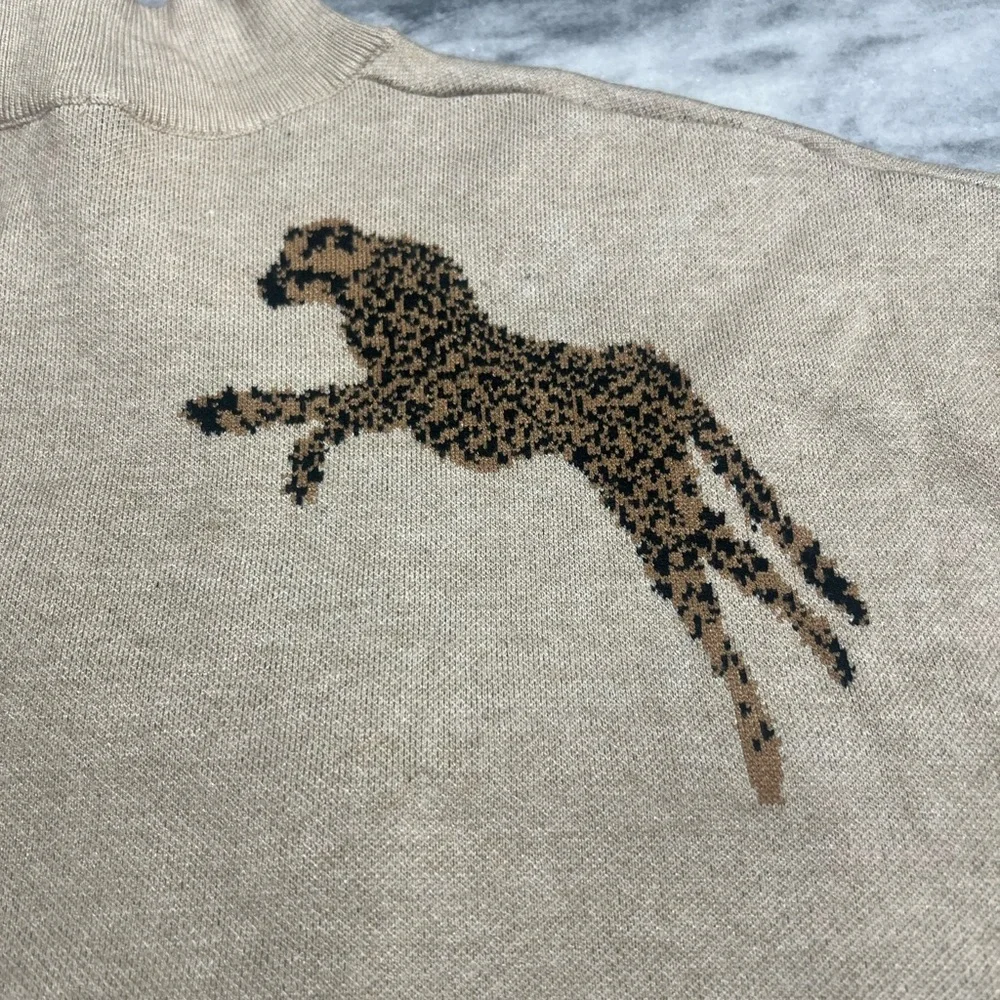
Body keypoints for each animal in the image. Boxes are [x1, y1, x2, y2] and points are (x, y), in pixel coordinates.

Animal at [180, 217, 870, 805]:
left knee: (733, 590)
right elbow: (321, 412)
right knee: (745, 571)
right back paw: (828, 662)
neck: (376, 276)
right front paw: (271, 445)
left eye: (298, 266)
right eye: (282, 258)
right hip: (660, 498)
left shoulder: (402, 397)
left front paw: (238, 421)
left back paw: (771, 744)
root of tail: (655, 364)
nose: (263, 285)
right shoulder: (395, 405)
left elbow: (309, 403)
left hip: (652, 506)